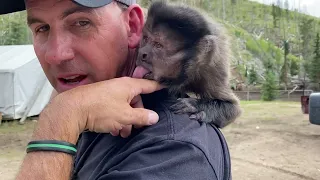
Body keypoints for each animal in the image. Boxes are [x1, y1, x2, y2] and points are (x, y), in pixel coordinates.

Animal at [131, 0, 241, 129]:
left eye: (158, 45)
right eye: (146, 39)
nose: (142, 53)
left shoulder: (211, 67)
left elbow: (233, 108)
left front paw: (195, 105)